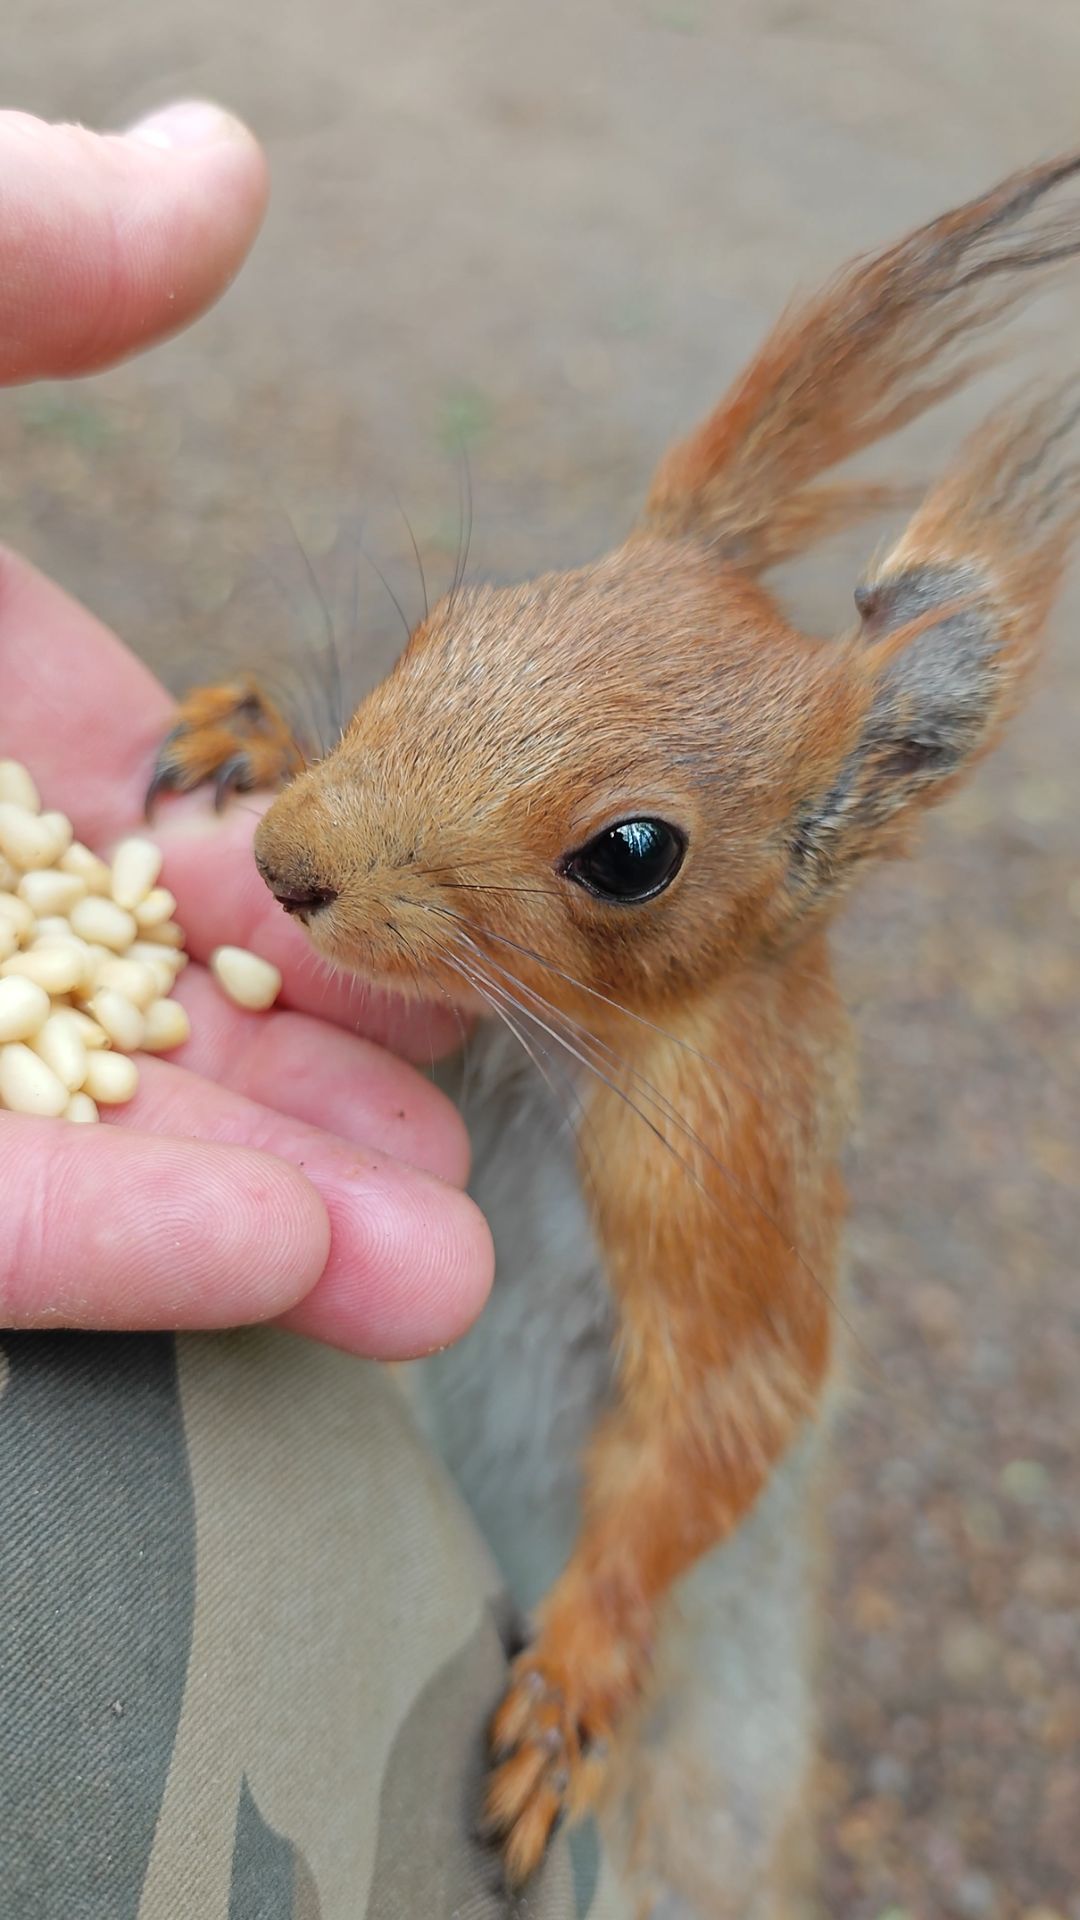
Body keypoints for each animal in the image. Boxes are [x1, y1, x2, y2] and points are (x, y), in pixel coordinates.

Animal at [150, 154, 1080, 1917]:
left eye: (632, 854)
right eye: (455, 621)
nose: (291, 865)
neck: (547, 1062)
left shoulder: (729, 1194)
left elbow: (714, 1428)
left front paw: (573, 1683)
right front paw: (250, 730)